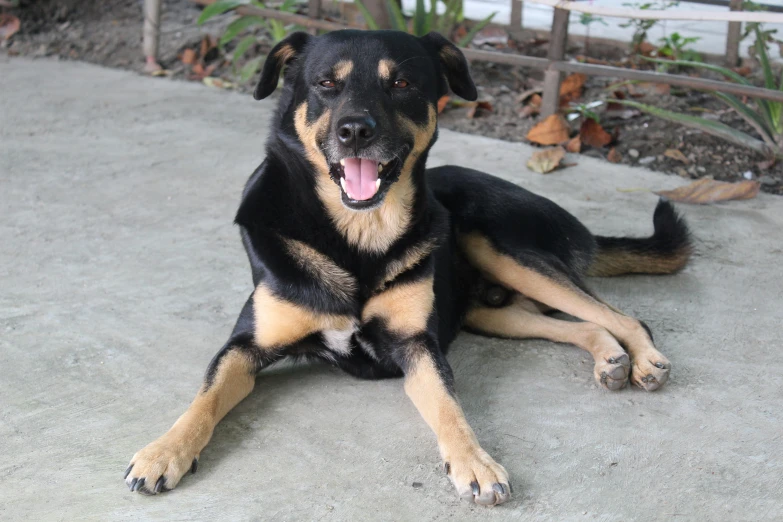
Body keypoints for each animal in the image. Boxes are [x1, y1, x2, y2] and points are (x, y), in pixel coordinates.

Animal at [124, 29, 692, 504]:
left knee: (622, 316)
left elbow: (449, 407)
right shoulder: (246, 346)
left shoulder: (419, 345)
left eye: (400, 83)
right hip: (492, 312)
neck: (359, 236)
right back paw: (610, 358)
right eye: (326, 84)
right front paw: (163, 452)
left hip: (498, 248)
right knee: (583, 324)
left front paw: (475, 464)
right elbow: (204, 397)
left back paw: (643, 359)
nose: (356, 130)